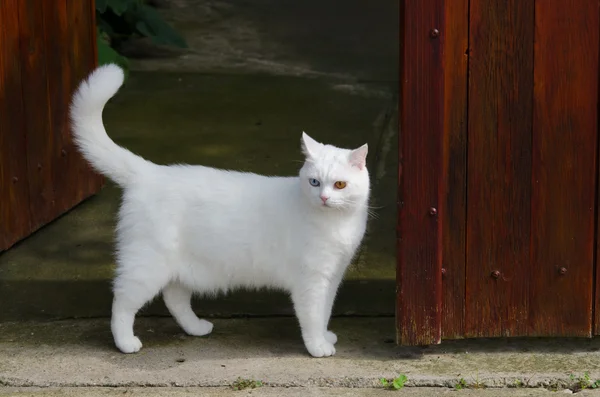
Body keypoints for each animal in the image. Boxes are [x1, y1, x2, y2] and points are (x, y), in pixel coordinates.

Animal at [70, 64, 370, 356]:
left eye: (339, 184)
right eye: (314, 182)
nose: (324, 197)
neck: (336, 223)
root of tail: (150, 172)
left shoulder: (332, 277)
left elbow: (325, 312)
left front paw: (326, 336)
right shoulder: (312, 280)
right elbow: (313, 316)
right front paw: (318, 346)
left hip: (180, 267)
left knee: (174, 298)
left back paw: (196, 328)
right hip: (147, 265)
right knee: (122, 300)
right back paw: (125, 342)